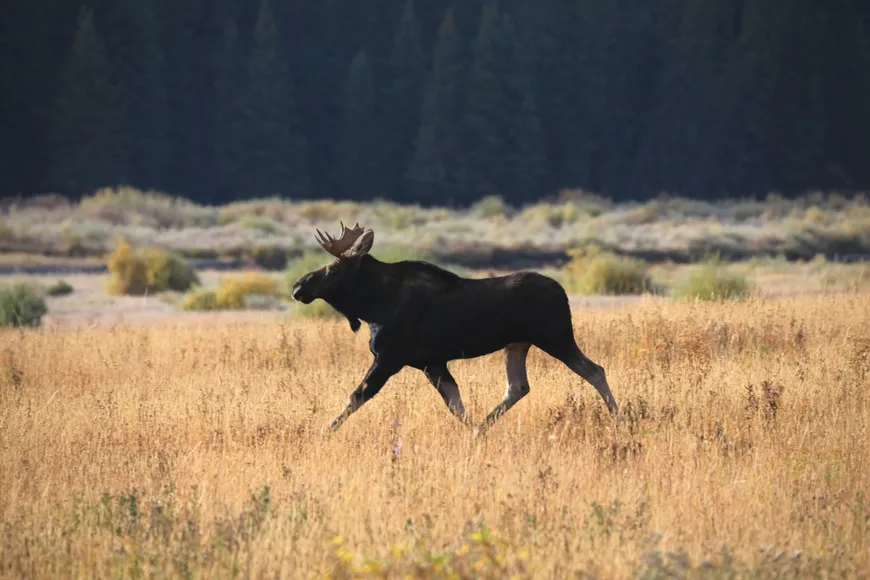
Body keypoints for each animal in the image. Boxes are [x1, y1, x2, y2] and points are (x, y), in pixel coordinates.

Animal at [290, 221, 620, 435]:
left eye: (333, 268)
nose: (298, 286)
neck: (372, 306)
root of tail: (563, 292)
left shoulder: (389, 358)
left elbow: (356, 396)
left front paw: (323, 432)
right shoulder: (432, 362)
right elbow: (456, 404)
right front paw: (472, 432)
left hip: (555, 336)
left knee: (594, 370)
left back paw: (619, 418)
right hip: (517, 344)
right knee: (518, 386)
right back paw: (483, 427)